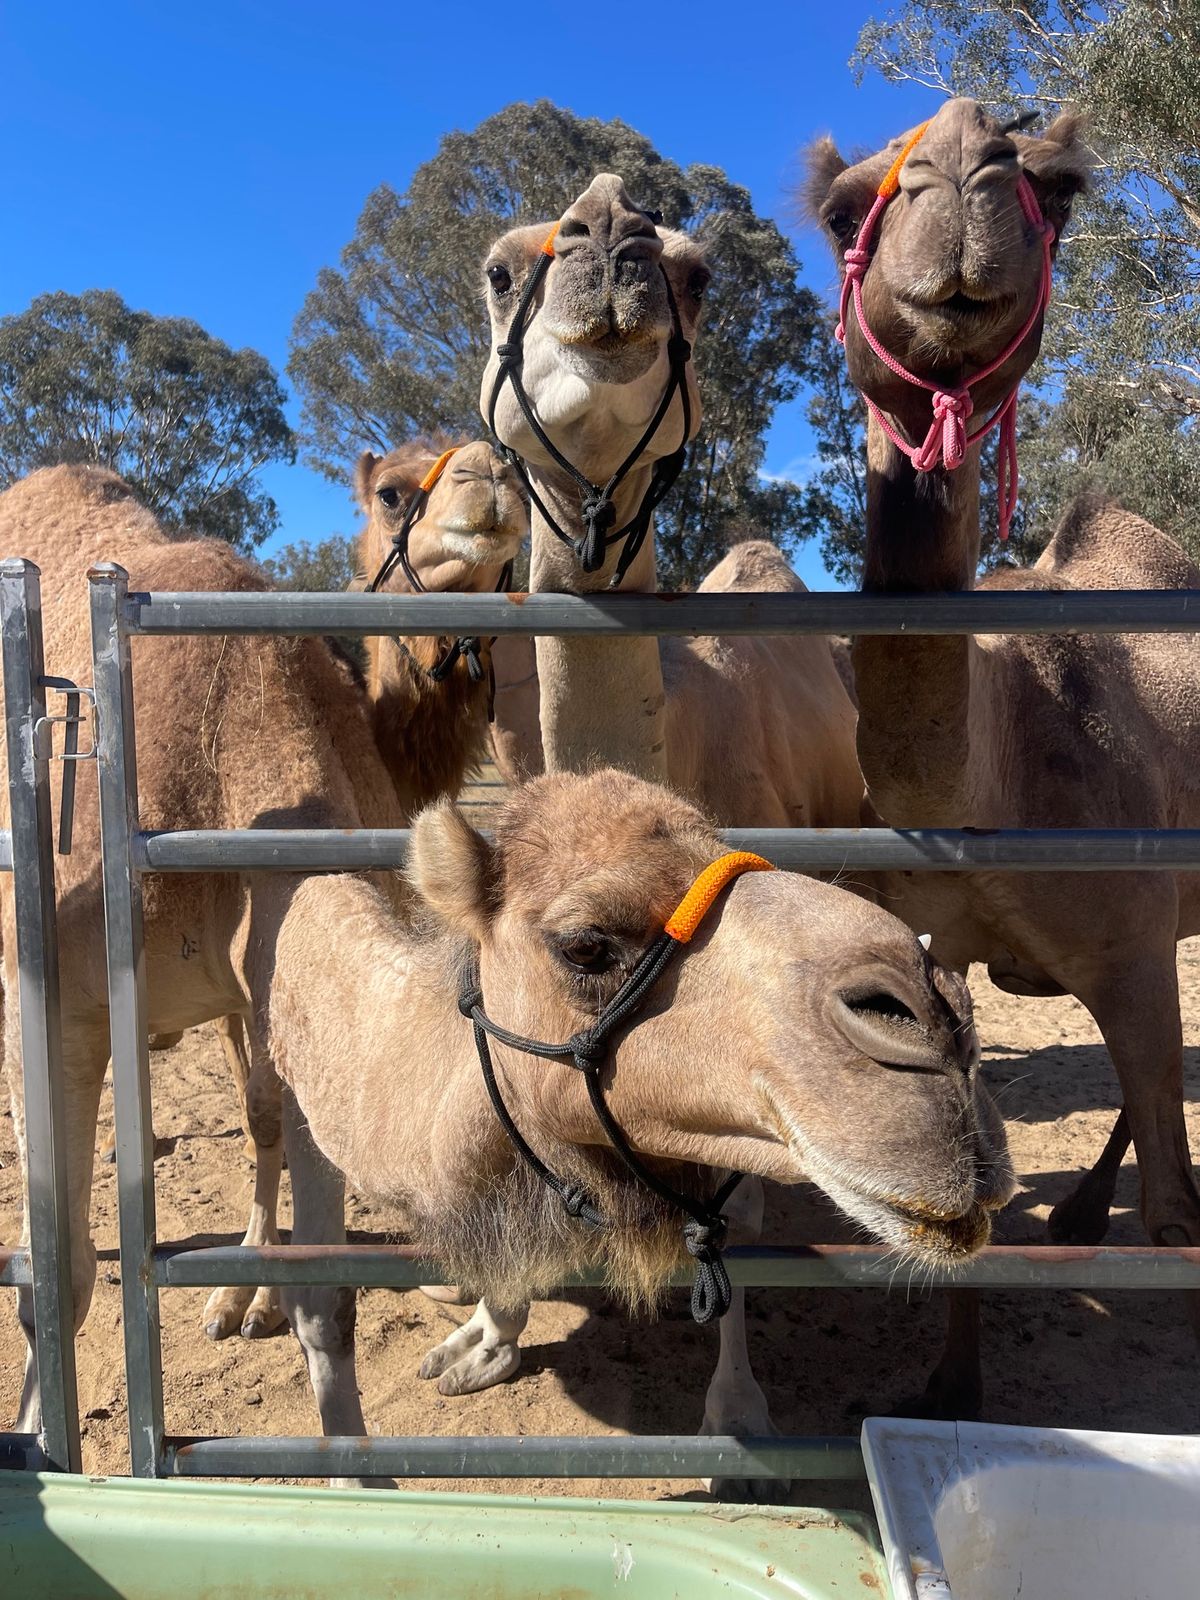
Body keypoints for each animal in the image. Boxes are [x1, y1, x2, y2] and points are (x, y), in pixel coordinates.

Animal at [2, 460, 1017, 1472]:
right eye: (586, 945)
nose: (930, 1023)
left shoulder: (287, 1001)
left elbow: (325, 1298)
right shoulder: (56, 1006)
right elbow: (59, 1281)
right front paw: (39, 1438)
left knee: (256, 1116)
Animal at [809, 93, 1200, 1408]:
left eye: (1061, 187)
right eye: (842, 211)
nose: (960, 161)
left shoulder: (1130, 942)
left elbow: (1173, 1220)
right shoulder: (946, 945)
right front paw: (947, 1387)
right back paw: (1077, 1208)